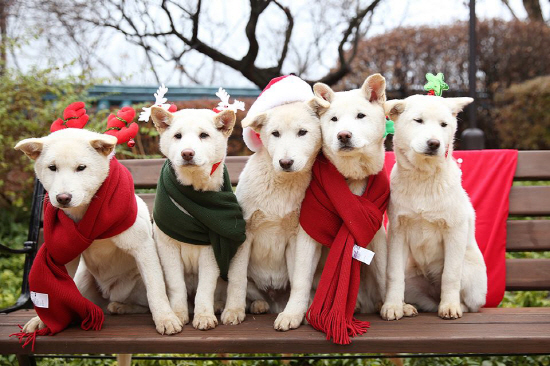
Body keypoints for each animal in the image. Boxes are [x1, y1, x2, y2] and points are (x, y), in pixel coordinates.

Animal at [14, 127, 183, 336]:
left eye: (81, 167)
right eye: (52, 167)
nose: (63, 198)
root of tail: (108, 293)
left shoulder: (142, 248)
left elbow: (156, 290)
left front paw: (165, 318)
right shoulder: (66, 256)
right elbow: (55, 289)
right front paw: (43, 320)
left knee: (142, 303)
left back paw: (121, 306)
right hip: (82, 280)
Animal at [150, 105, 240, 328]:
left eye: (204, 135)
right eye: (178, 136)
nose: (187, 153)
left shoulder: (211, 250)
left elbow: (205, 289)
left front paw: (204, 315)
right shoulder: (168, 248)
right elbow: (177, 286)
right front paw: (178, 313)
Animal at [221, 97, 332, 328]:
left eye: (302, 132)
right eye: (275, 134)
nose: (285, 162)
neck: (281, 184)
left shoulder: (298, 237)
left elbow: (300, 279)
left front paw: (292, 315)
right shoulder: (244, 233)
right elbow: (237, 279)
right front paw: (233, 310)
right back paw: (257, 305)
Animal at [380, 94, 492, 320]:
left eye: (443, 125)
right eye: (418, 121)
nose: (434, 143)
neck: (423, 178)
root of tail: (432, 294)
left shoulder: (454, 231)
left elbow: (450, 275)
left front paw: (449, 306)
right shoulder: (398, 231)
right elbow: (393, 274)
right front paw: (393, 306)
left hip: (469, 272)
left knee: (469, 302)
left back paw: (454, 304)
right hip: (412, 276)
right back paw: (407, 306)